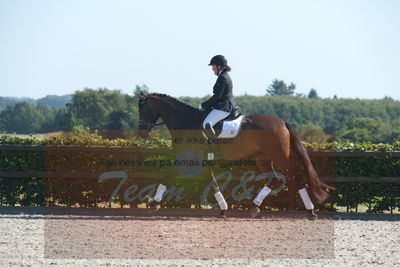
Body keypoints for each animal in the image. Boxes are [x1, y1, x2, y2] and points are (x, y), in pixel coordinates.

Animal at [138, 92, 332, 220]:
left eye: (143, 109)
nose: (142, 133)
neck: (187, 122)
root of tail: (282, 122)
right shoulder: (199, 161)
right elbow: (212, 182)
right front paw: (223, 209)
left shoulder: (187, 159)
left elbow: (168, 175)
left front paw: (154, 204)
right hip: (262, 158)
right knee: (275, 180)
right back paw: (254, 207)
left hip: (280, 156)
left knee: (295, 177)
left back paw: (310, 211)